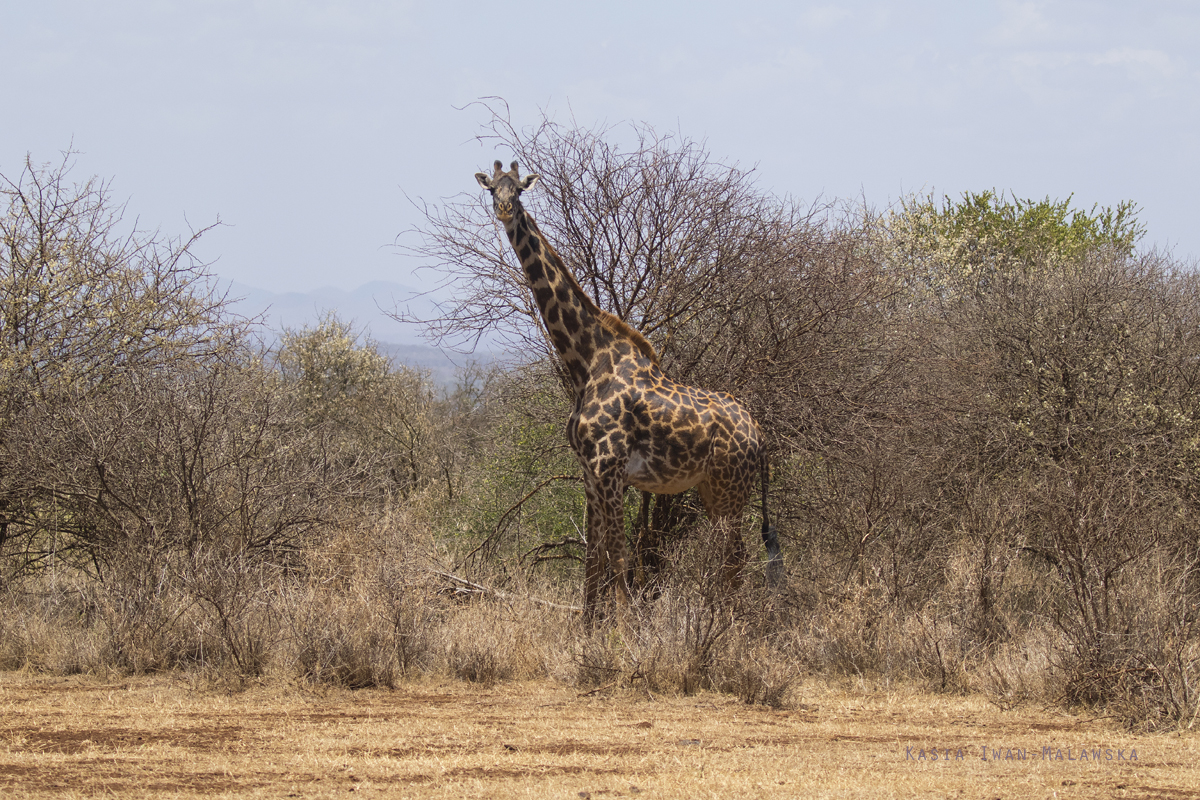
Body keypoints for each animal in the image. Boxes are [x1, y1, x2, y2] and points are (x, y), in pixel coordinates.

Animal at [472, 159, 782, 618]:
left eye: (520, 190)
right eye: (493, 189)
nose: (505, 210)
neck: (586, 362)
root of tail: (759, 435)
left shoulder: (609, 468)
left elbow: (618, 556)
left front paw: (624, 628)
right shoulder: (589, 473)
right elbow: (592, 559)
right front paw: (588, 628)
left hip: (731, 489)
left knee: (736, 557)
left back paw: (724, 624)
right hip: (713, 488)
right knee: (732, 557)